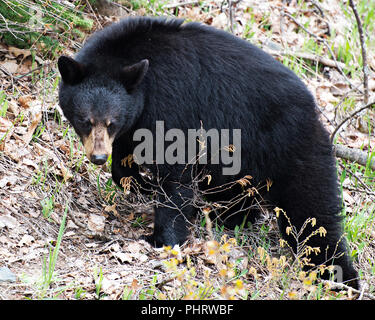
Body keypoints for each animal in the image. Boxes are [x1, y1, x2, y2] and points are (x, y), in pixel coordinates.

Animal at [57, 16, 360, 288]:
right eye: (85, 120)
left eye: (111, 121)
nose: (97, 157)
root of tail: (315, 111)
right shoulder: (137, 118)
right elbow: (124, 161)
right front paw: (140, 184)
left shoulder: (172, 105)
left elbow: (174, 171)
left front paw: (163, 239)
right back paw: (229, 217)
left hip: (289, 146)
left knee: (311, 210)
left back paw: (337, 274)